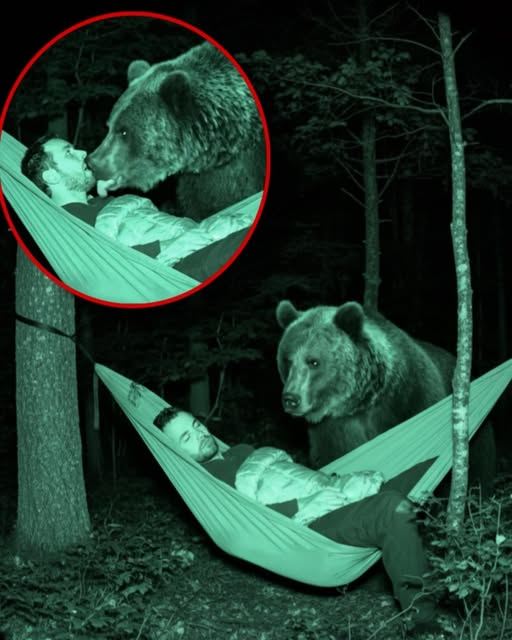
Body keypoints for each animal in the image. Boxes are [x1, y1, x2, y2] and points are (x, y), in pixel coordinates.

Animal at [276, 299, 496, 492]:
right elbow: (332, 458)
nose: (291, 399)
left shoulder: (411, 399)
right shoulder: (333, 429)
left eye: (313, 361)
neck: (363, 401)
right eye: (287, 360)